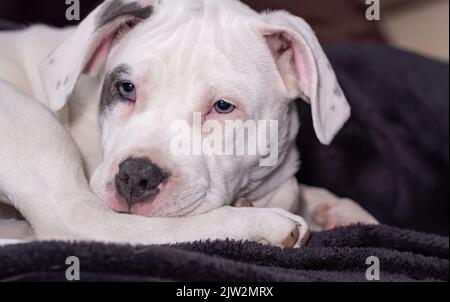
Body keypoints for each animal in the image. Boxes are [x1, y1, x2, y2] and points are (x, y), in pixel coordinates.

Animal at [0, 0, 376, 245]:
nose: (136, 176)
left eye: (222, 106)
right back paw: (260, 226)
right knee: (85, 222)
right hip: (29, 121)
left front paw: (335, 208)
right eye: (126, 89)